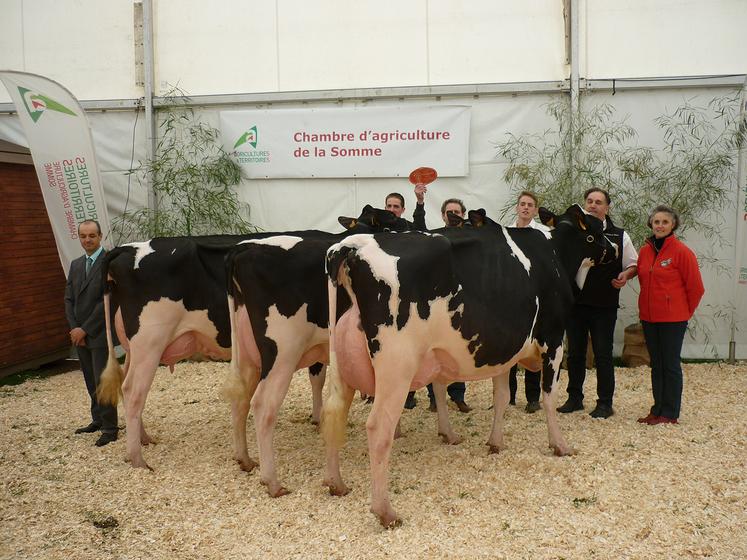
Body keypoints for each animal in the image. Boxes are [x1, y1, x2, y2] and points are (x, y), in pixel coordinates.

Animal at [224, 207, 410, 494]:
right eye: (391, 218)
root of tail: (242, 249)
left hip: (247, 351)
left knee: (240, 396)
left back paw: (244, 458)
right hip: (281, 353)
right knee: (263, 404)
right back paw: (273, 482)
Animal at [320, 203, 612, 528]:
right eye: (597, 231)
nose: (614, 250)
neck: (556, 254)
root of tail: (355, 245)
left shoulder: (504, 352)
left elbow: (501, 397)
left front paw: (495, 442)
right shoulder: (554, 340)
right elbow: (549, 398)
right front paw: (560, 445)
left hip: (340, 361)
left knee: (333, 412)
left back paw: (336, 483)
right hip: (396, 365)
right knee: (379, 427)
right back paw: (385, 511)